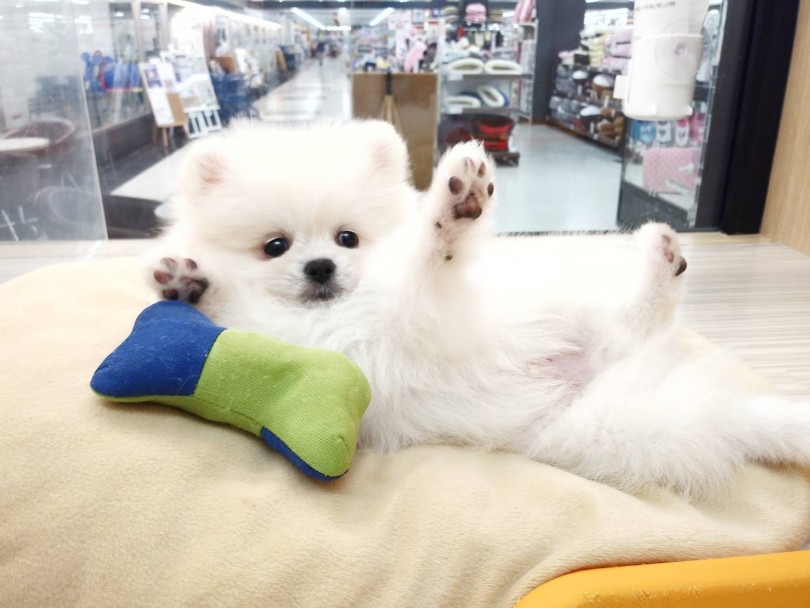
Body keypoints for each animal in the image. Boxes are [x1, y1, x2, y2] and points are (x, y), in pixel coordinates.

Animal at [144, 119, 810, 497]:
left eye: (347, 238)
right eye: (275, 246)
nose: (321, 268)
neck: (340, 309)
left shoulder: (415, 305)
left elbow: (427, 257)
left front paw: (452, 209)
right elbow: (232, 304)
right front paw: (187, 281)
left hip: (572, 311)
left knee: (640, 316)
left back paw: (660, 256)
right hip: (615, 424)